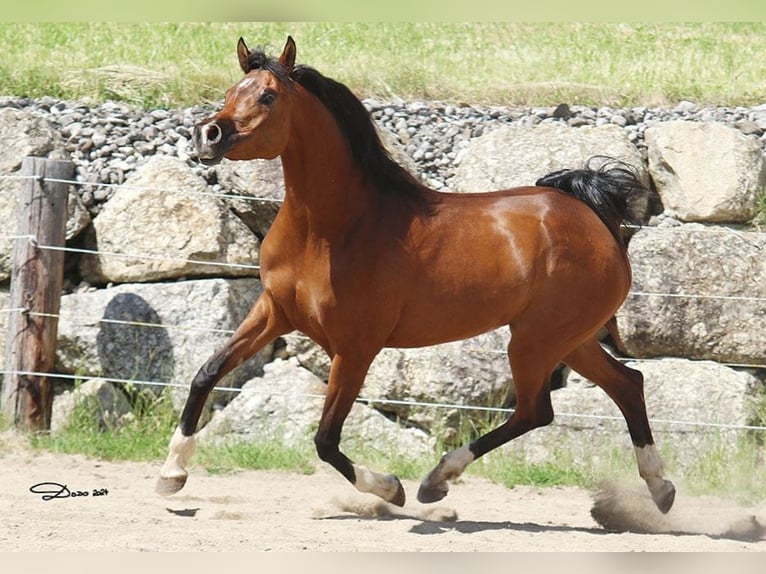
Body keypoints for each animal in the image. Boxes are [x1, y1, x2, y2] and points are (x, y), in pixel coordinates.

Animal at [156, 35, 680, 512]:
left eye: (267, 96)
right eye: (231, 91)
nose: (207, 135)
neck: (330, 229)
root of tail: (593, 217)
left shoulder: (355, 347)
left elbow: (326, 439)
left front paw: (391, 488)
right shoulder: (274, 312)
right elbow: (206, 374)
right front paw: (171, 475)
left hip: (536, 341)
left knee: (537, 410)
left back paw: (436, 480)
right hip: (569, 340)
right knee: (626, 384)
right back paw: (660, 489)